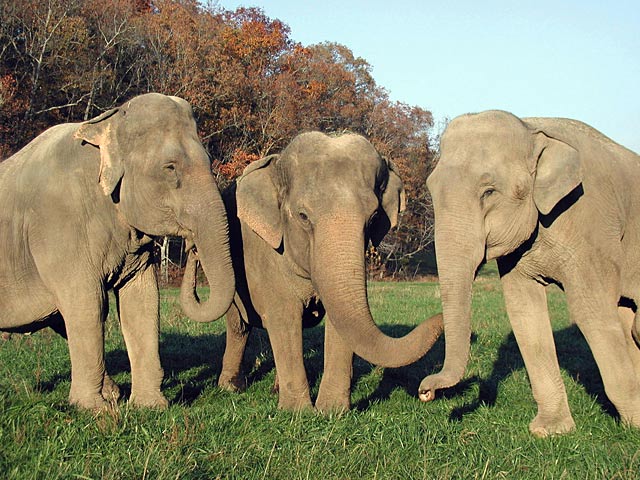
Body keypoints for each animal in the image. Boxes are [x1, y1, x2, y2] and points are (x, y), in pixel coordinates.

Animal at [0, 93, 235, 408]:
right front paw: (93, 410)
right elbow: (88, 303)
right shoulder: (59, 225)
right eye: (170, 167)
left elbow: (142, 300)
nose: (192, 247)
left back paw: (113, 392)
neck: (105, 124)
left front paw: (150, 406)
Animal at [182, 130, 442, 408]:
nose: (426, 391)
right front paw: (298, 411)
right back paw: (231, 388)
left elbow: (340, 321)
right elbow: (284, 316)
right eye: (303, 216)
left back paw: (275, 388)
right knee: (238, 325)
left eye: (373, 217)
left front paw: (332, 411)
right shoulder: (265, 254)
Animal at [418, 110, 640, 436]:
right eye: (432, 189)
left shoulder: (592, 224)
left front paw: (634, 425)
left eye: (489, 192)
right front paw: (550, 430)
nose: (425, 392)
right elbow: (524, 310)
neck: (533, 128)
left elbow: (591, 311)